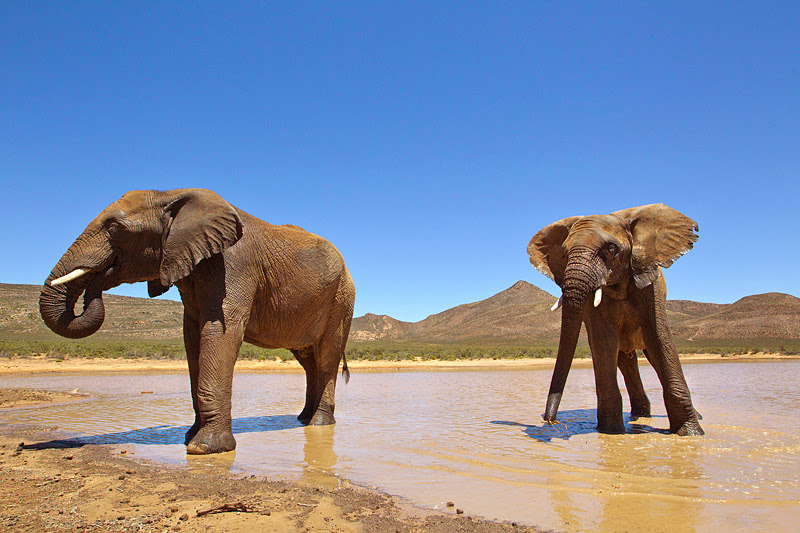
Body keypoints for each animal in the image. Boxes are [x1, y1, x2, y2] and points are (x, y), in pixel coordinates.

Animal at [39, 188, 354, 454]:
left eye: (115, 229)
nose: (99, 277)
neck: (169, 194)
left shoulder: (234, 265)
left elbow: (218, 332)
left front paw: (205, 448)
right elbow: (192, 339)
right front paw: (190, 438)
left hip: (340, 300)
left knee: (325, 359)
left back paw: (318, 424)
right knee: (308, 361)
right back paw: (303, 419)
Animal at [528, 202, 704, 434]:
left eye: (611, 249)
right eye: (564, 254)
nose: (550, 421)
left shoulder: (649, 283)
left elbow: (659, 338)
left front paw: (690, 433)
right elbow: (603, 342)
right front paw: (611, 431)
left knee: (653, 356)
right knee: (625, 359)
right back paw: (639, 415)